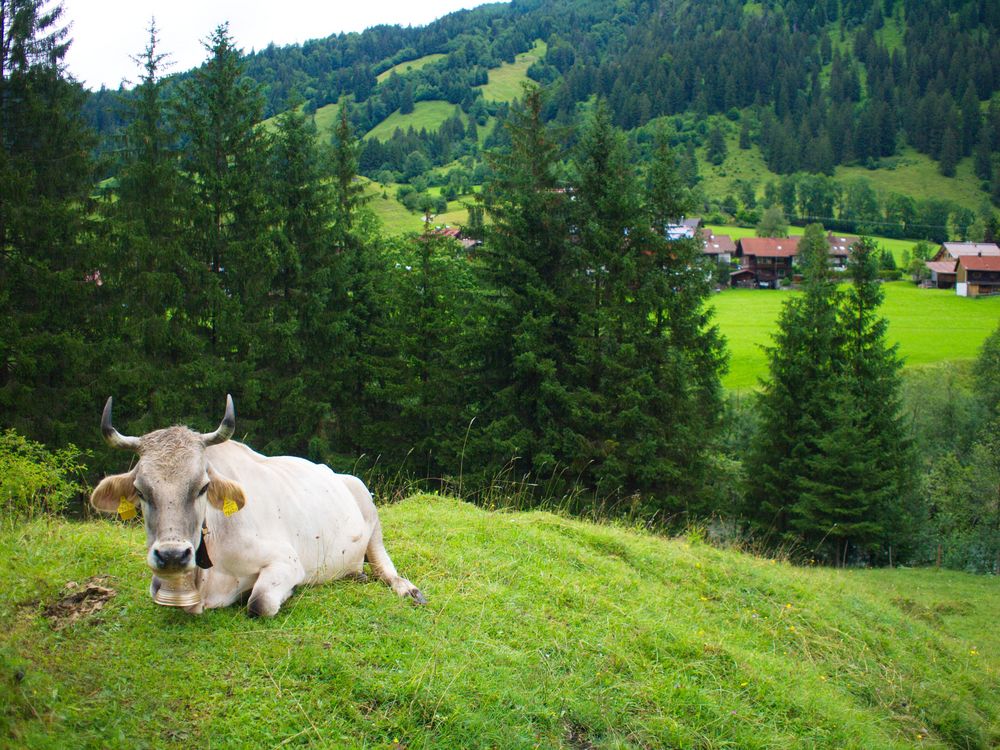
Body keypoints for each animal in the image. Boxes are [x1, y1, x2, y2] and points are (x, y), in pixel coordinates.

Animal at [89, 396, 426, 620]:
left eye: (203, 487)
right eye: (140, 491)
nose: (172, 556)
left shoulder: (287, 561)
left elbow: (259, 604)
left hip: (370, 513)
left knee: (385, 567)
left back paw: (408, 589)